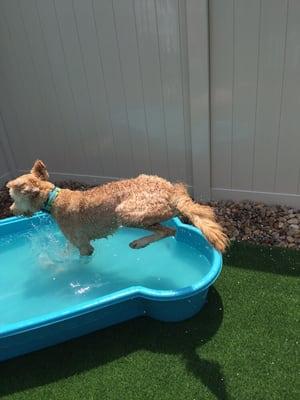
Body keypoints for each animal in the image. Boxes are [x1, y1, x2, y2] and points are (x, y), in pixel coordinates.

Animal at [6, 160, 227, 256]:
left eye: (14, 198)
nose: (10, 210)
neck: (54, 199)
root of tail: (172, 192)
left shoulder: (83, 245)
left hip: (127, 213)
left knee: (168, 230)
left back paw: (139, 242)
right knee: (169, 229)